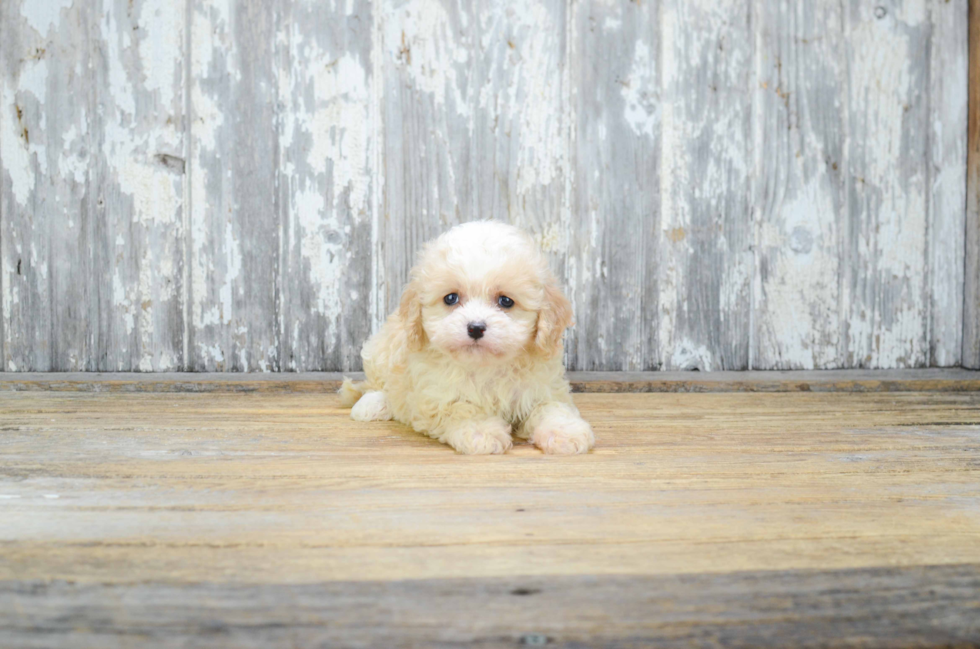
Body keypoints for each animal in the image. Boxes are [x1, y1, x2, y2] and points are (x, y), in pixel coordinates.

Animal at [340, 223, 592, 456]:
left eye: (506, 301)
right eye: (451, 298)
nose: (476, 328)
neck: (485, 367)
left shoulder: (544, 387)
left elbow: (551, 407)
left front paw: (566, 431)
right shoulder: (436, 397)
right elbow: (461, 409)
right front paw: (482, 432)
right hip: (380, 351)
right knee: (375, 384)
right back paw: (372, 405)